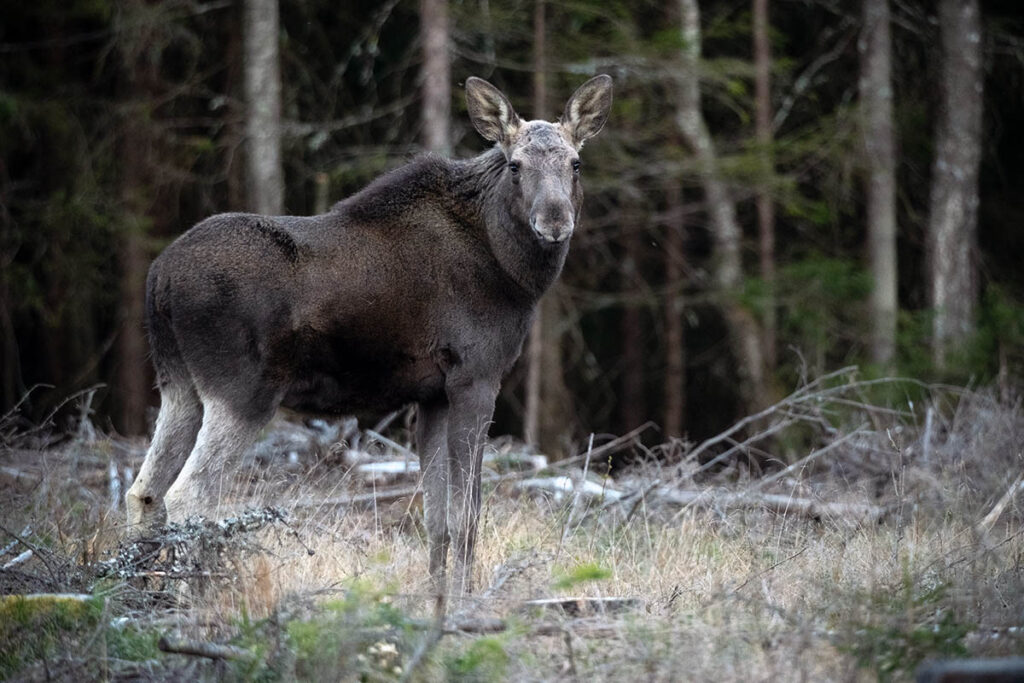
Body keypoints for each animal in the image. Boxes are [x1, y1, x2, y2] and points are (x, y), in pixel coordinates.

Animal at [125, 74, 613, 603]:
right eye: (515, 165)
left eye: (576, 163)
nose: (555, 222)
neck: (513, 273)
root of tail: (158, 280)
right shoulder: (477, 377)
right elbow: (467, 515)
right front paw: (466, 601)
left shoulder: (432, 395)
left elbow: (437, 519)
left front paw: (437, 600)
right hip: (242, 391)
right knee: (188, 495)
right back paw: (192, 598)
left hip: (179, 386)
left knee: (143, 491)